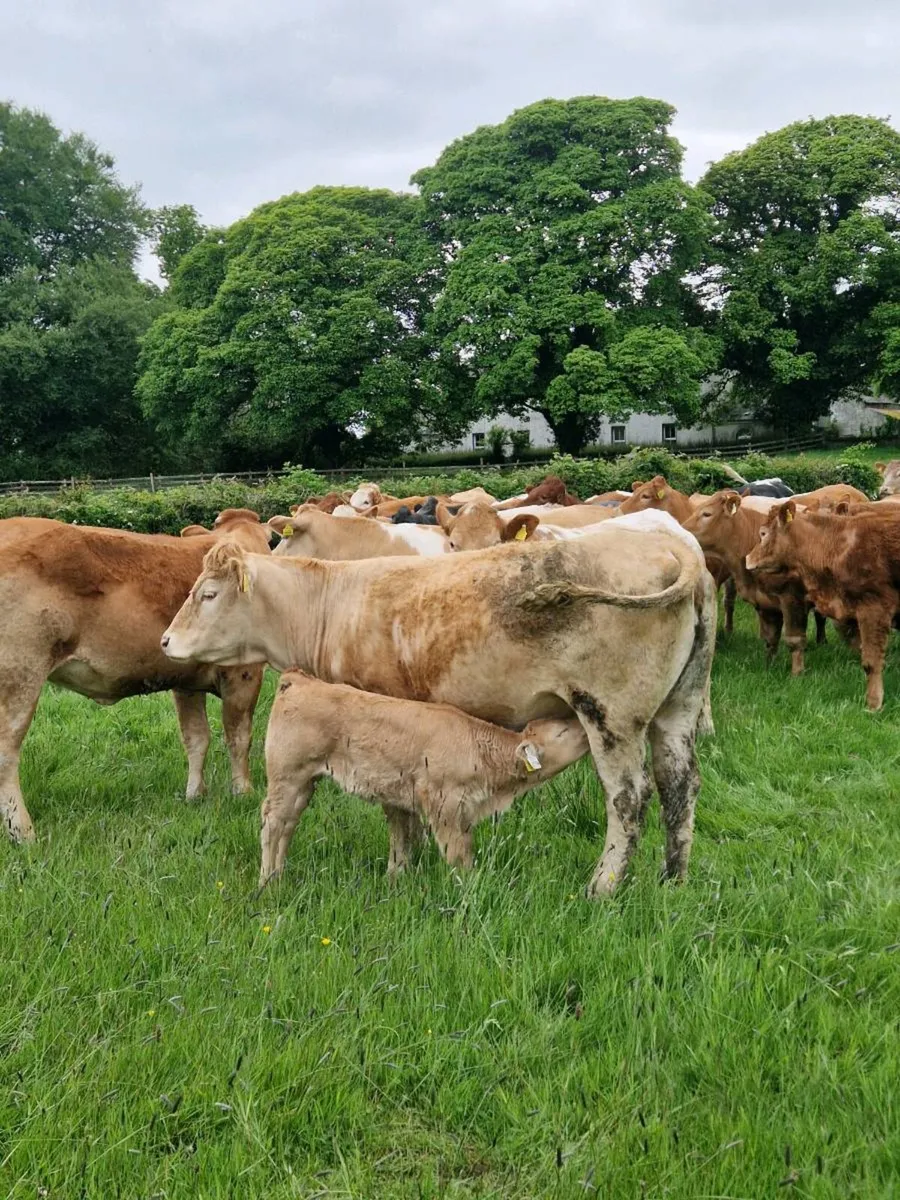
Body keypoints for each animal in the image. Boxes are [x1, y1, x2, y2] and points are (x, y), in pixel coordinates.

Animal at [0, 515, 270, 842]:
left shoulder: (186, 680)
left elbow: (196, 737)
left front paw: (195, 795)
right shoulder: (245, 672)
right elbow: (239, 736)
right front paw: (243, 792)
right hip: (20, 674)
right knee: (6, 755)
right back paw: (24, 833)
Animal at [261, 672, 589, 884]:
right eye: (562, 731)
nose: (586, 729)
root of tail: (298, 680)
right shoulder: (444, 804)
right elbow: (458, 854)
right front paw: (468, 886)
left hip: (304, 782)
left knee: (288, 824)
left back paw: (279, 876)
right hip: (287, 775)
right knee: (273, 824)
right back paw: (267, 883)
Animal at [683, 491, 826, 673]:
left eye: (706, 514)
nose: (680, 528)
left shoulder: (793, 599)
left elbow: (795, 640)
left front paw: (797, 673)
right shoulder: (766, 603)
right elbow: (771, 639)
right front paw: (769, 666)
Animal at [746, 501, 900, 709]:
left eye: (763, 533)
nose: (747, 558)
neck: (839, 546)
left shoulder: (874, 610)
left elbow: (871, 662)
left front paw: (873, 704)